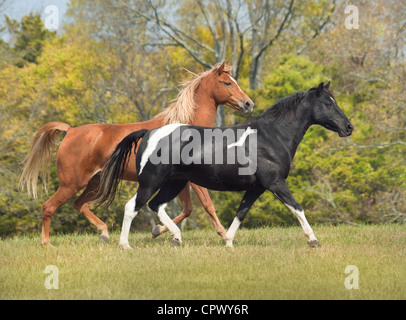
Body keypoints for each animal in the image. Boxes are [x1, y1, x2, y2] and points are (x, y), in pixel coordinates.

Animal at [19, 61, 254, 245]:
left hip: (94, 183)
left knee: (79, 204)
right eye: (227, 83)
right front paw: (224, 235)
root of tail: (70, 130)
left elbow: (187, 209)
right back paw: (47, 244)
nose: (248, 103)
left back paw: (104, 234)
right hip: (71, 184)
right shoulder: (193, 181)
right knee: (49, 207)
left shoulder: (181, 181)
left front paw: (159, 231)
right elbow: (207, 206)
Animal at [97, 81, 352, 249]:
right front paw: (313, 240)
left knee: (156, 206)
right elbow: (297, 208)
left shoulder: (256, 188)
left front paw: (228, 241)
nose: (348, 127)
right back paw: (125, 245)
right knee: (133, 207)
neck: (270, 136)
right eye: (328, 103)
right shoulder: (275, 182)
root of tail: (149, 133)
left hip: (173, 183)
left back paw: (176, 238)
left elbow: (241, 212)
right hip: (151, 182)